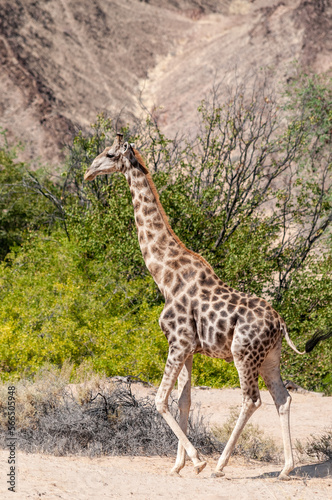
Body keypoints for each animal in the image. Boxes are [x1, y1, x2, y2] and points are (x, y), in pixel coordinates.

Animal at [84, 134, 330, 480]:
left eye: (108, 154)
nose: (87, 173)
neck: (164, 276)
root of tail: (281, 324)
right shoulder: (188, 347)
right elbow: (183, 401)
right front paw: (177, 465)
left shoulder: (178, 341)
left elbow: (160, 400)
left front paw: (197, 461)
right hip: (270, 358)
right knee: (283, 398)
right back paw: (286, 468)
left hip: (244, 353)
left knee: (252, 400)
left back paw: (219, 465)